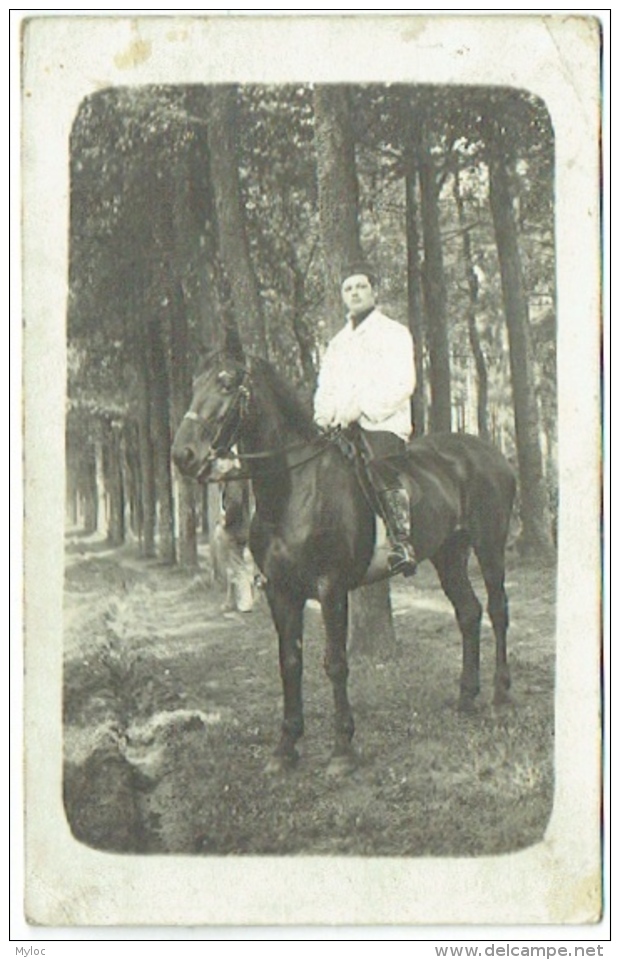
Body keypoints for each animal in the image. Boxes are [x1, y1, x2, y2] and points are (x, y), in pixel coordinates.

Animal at [172, 356, 516, 776]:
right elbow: (290, 662)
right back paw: (466, 698)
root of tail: (491, 454)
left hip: (489, 546)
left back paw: (501, 696)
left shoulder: (331, 587)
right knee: (468, 612)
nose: (183, 454)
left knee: (497, 611)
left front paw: (342, 749)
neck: (293, 489)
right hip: (449, 554)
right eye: (195, 383)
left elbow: (335, 663)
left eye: (225, 384)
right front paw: (285, 747)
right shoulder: (281, 591)